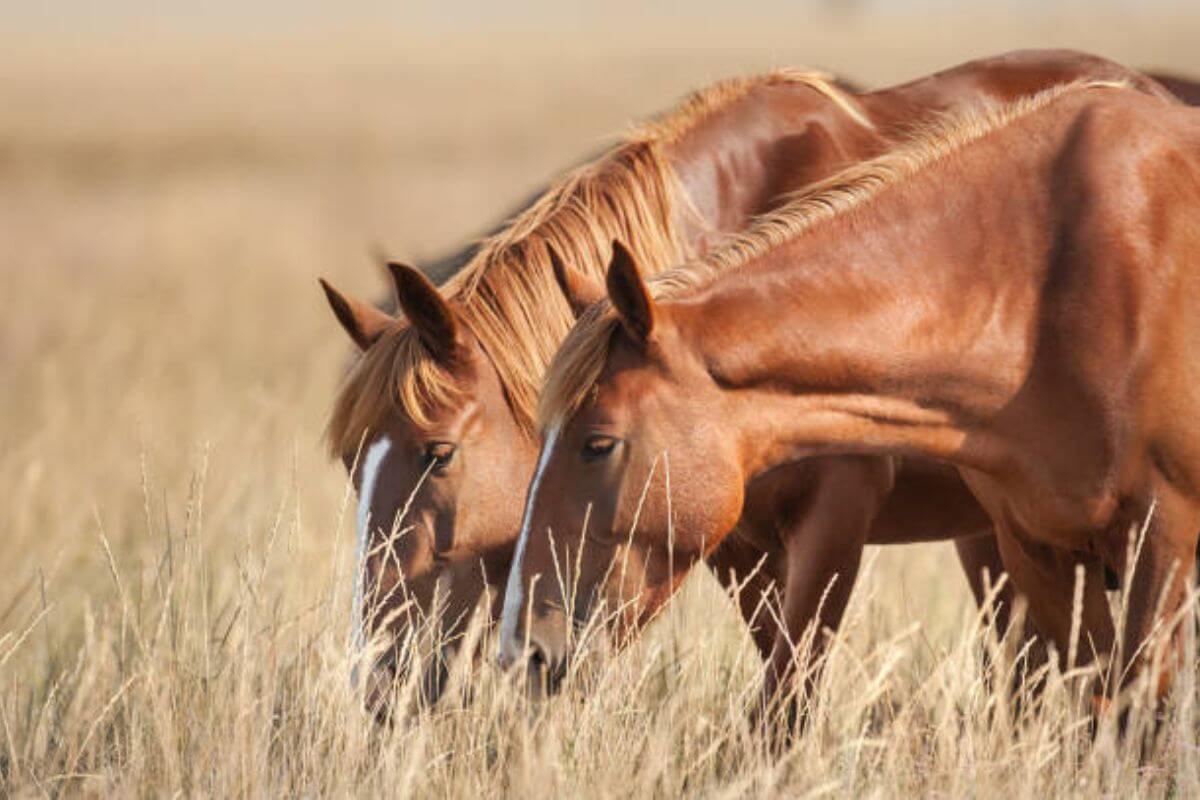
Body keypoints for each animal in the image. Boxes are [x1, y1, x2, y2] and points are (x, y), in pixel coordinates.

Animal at [319, 51, 1180, 714]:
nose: (377, 675)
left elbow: (786, 701)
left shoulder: (836, 517)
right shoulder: (729, 542)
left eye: (438, 455)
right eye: (351, 466)